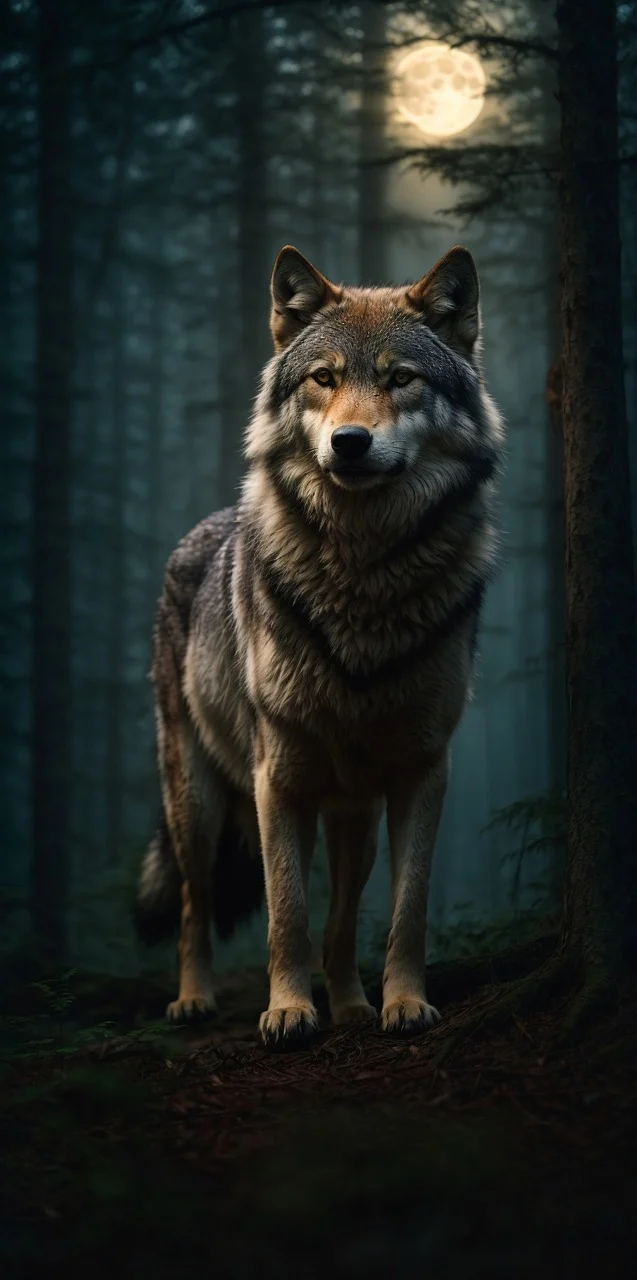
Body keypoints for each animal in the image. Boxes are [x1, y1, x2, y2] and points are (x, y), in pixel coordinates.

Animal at [133, 244, 504, 1048]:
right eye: (324, 378)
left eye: (400, 378)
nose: (349, 442)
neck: (362, 579)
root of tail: (201, 528)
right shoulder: (279, 777)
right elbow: (286, 913)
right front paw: (287, 1011)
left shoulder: (421, 769)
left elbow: (402, 910)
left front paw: (399, 1003)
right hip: (198, 803)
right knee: (195, 904)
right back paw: (193, 999)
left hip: (351, 812)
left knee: (342, 914)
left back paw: (353, 1003)